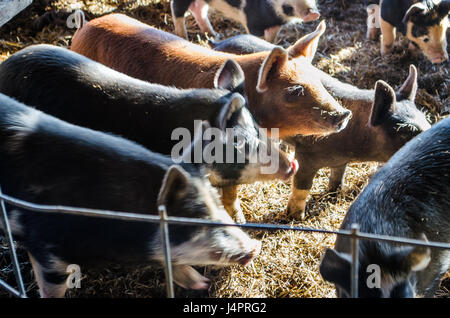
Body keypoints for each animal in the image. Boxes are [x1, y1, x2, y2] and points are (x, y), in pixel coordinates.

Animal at [170, 0, 320, 41]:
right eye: (288, 6)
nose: (313, 14)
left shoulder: (275, 25)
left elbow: (271, 38)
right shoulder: (252, 21)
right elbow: (257, 36)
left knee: (198, 9)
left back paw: (214, 34)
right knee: (176, 8)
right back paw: (183, 37)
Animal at [209, 34, 430, 219]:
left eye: (427, 121)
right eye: (404, 131)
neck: (355, 139)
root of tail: (218, 42)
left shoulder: (341, 160)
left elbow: (338, 176)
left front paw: (333, 194)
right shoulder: (307, 154)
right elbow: (302, 187)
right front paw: (296, 218)